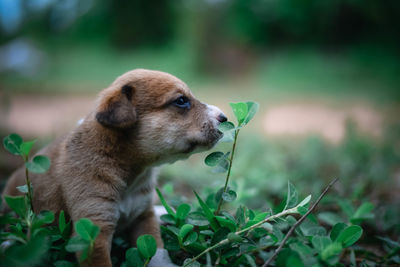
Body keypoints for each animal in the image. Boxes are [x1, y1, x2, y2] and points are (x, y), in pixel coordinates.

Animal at [1, 69, 227, 267]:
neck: (132, 172)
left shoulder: (144, 217)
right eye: (181, 101)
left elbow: (157, 251)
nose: (225, 118)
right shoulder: (94, 229)